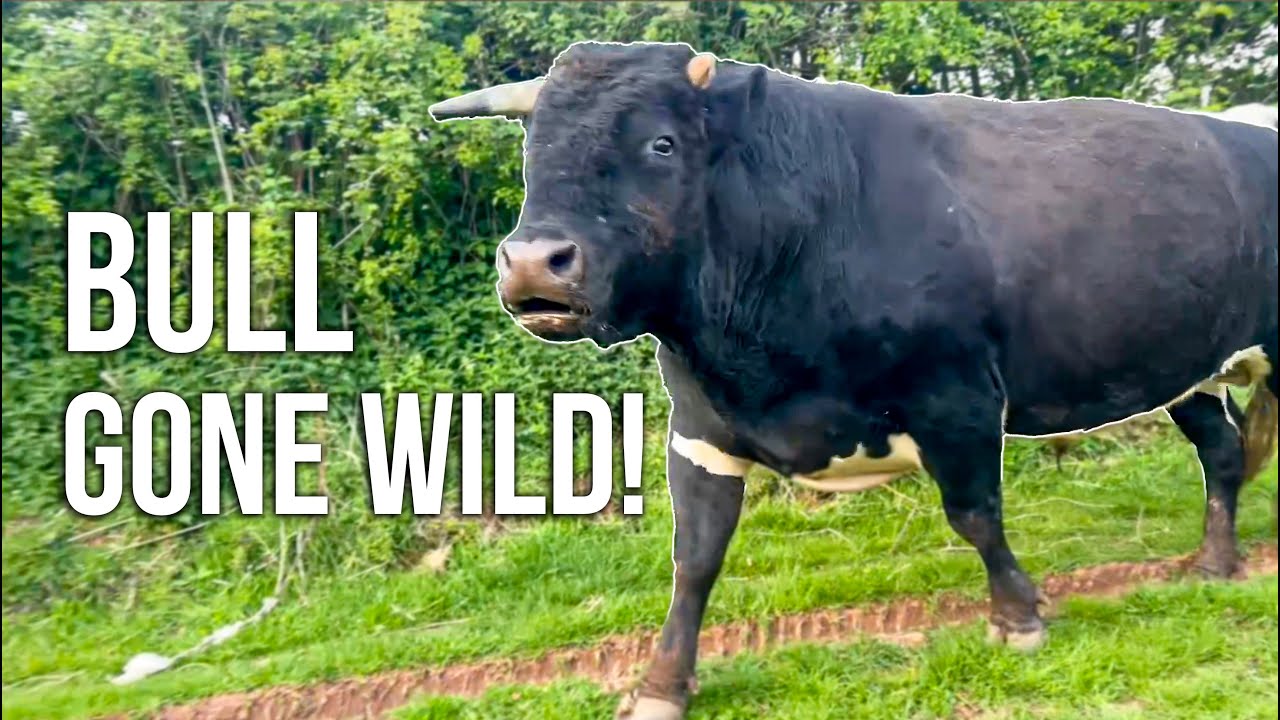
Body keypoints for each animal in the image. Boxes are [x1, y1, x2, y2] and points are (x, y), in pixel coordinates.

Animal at [430, 42, 1279, 720]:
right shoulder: (700, 428)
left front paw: (1018, 619)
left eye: (661, 144)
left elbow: (976, 516)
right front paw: (661, 685)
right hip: (1188, 369)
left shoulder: (958, 397)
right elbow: (694, 558)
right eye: (532, 152)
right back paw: (1214, 564)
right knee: (1222, 451)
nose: (533, 264)